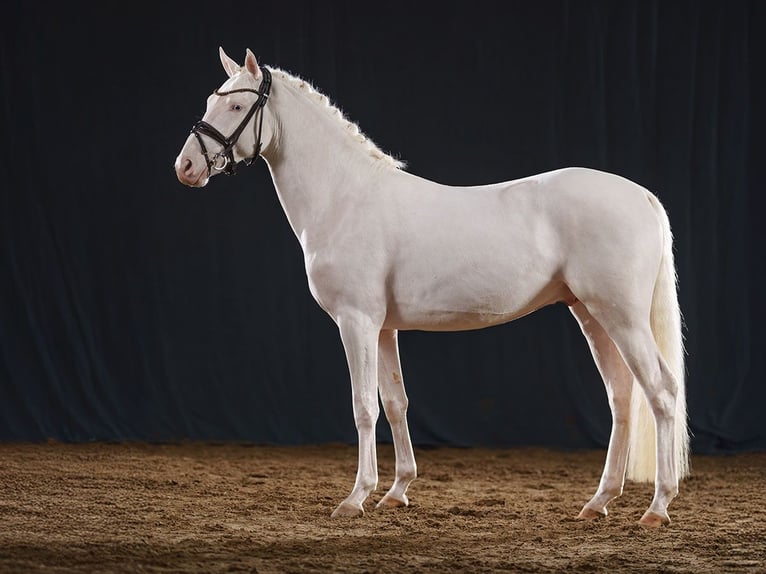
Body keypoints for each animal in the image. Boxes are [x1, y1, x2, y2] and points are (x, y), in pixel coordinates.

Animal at [177, 50, 692, 532]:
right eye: (210, 101)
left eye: (237, 104)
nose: (185, 166)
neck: (345, 197)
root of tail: (642, 196)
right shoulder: (383, 328)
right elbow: (395, 402)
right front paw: (396, 492)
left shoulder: (356, 321)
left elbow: (363, 407)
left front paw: (355, 498)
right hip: (590, 313)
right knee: (621, 396)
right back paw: (598, 502)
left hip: (622, 317)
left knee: (661, 391)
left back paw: (658, 507)